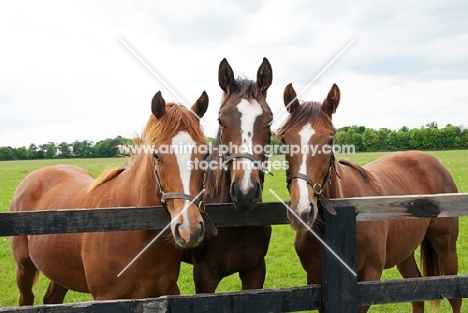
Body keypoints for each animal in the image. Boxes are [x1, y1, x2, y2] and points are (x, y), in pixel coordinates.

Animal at [10, 89, 216, 304]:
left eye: (205, 155)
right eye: (157, 155)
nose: (189, 230)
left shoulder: (169, 291)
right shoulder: (106, 298)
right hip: (24, 268)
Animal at [278, 83, 460, 312]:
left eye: (330, 140)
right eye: (284, 140)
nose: (302, 210)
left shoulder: (367, 280)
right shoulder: (317, 284)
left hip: (446, 246)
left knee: (455, 297)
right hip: (405, 251)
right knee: (416, 295)